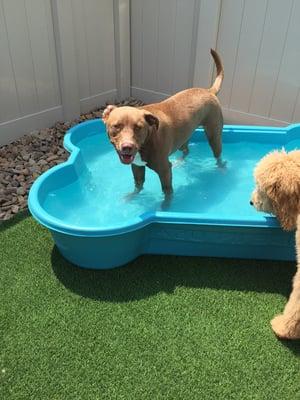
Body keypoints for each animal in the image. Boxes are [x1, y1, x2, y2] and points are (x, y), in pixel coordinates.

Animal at [102, 48, 224, 203]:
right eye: (116, 126)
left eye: (138, 128)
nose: (127, 147)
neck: (148, 140)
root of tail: (208, 91)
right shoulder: (137, 166)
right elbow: (138, 185)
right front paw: (131, 197)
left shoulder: (164, 170)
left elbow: (167, 192)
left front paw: (165, 206)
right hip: (183, 136)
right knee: (186, 150)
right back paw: (180, 161)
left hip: (213, 134)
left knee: (218, 155)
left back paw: (221, 168)